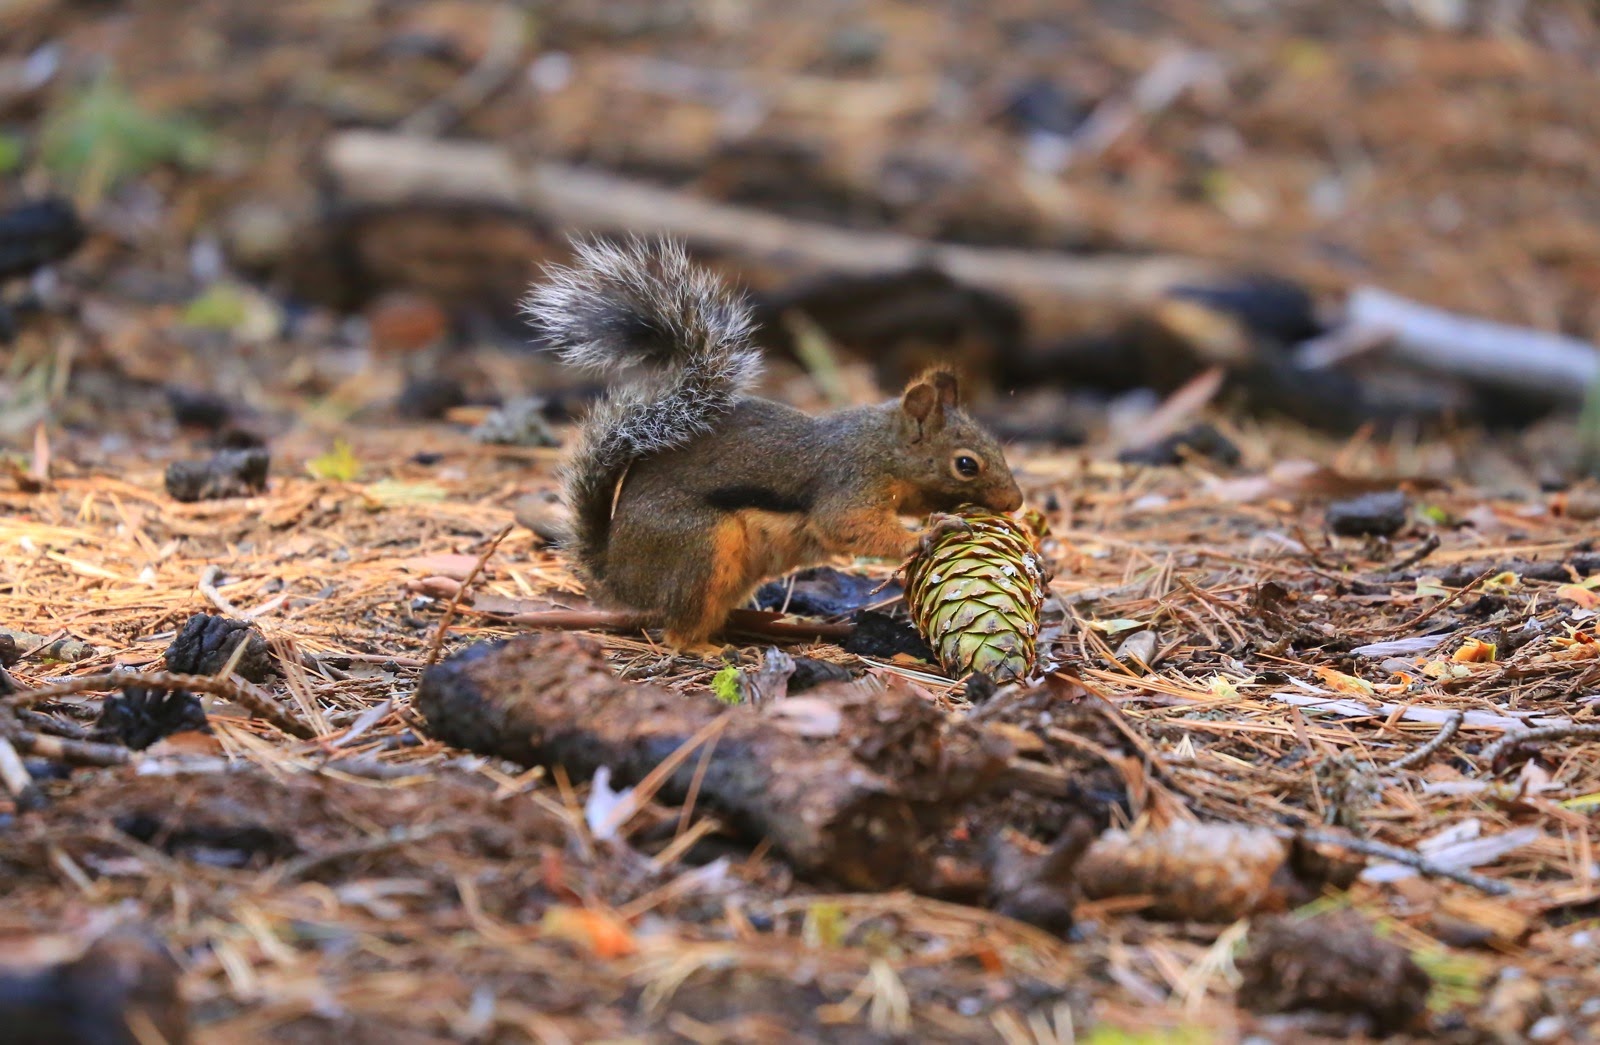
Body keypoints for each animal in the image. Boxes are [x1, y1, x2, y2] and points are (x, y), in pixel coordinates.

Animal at [523, 238, 1023, 649]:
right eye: (966, 464)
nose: (1015, 503)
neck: (882, 447)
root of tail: (620, 579)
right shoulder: (849, 479)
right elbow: (848, 524)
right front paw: (929, 532)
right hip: (701, 551)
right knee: (677, 629)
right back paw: (706, 648)